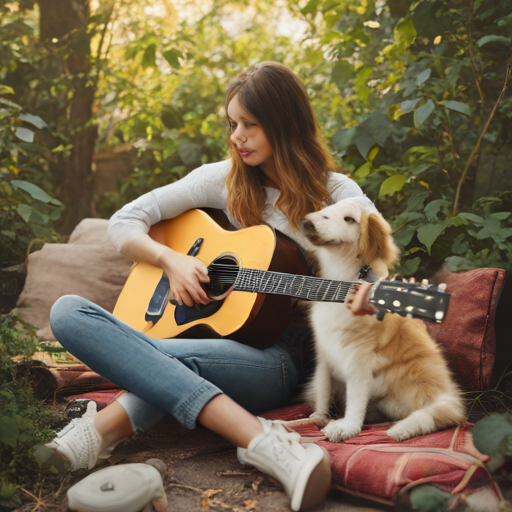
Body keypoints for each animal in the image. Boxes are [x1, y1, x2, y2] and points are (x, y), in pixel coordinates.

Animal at [302, 198, 466, 442]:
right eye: (326, 210)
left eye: (349, 219)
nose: (307, 222)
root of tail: (448, 394)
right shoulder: (324, 350)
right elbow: (323, 387)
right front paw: (319, 417)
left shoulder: (360, 357)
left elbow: (356, 397)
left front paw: (347, 427)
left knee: (438, 413)